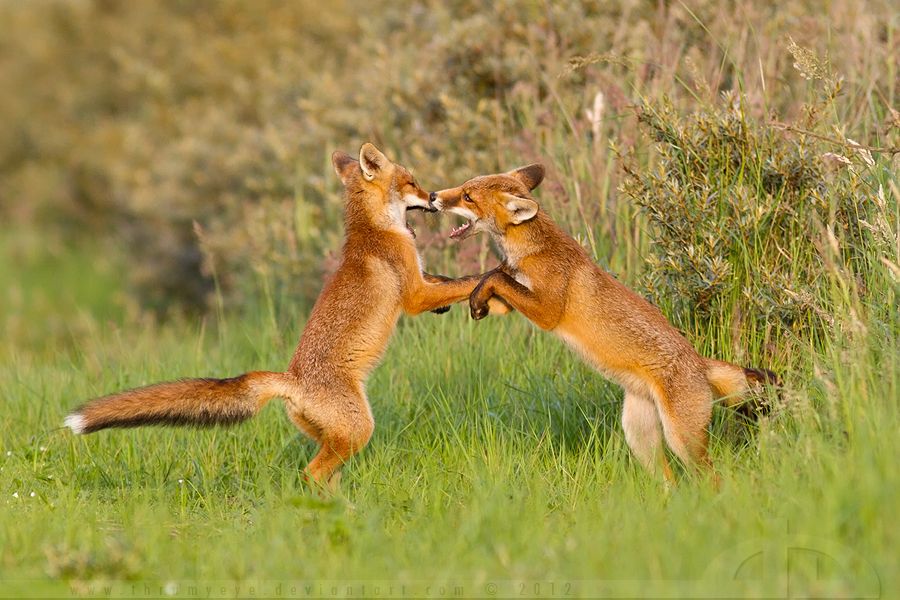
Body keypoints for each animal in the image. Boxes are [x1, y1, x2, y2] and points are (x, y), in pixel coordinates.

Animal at [64, 143, 482, 492]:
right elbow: (461, 283)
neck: (375, 228)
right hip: (359, 430)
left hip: (336, 438)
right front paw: (489, 278)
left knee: (326, 474)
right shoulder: (411, 293)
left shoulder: (421, 280)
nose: (433, 197)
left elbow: (445, 282)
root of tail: (291, 379)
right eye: (412, 183)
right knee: (312, 473)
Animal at [432, 164, 780, 485]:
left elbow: (495, 277)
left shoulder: (547, 311)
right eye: (463, 187)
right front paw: (444, 286)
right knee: (670, 481)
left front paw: (470, 298)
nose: (433, 195)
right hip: (639, 436)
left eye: (466, 196)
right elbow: (484, 277)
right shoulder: (508, 300)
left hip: (682, 440)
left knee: (712, 479)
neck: (532, 251)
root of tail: (699, 362)